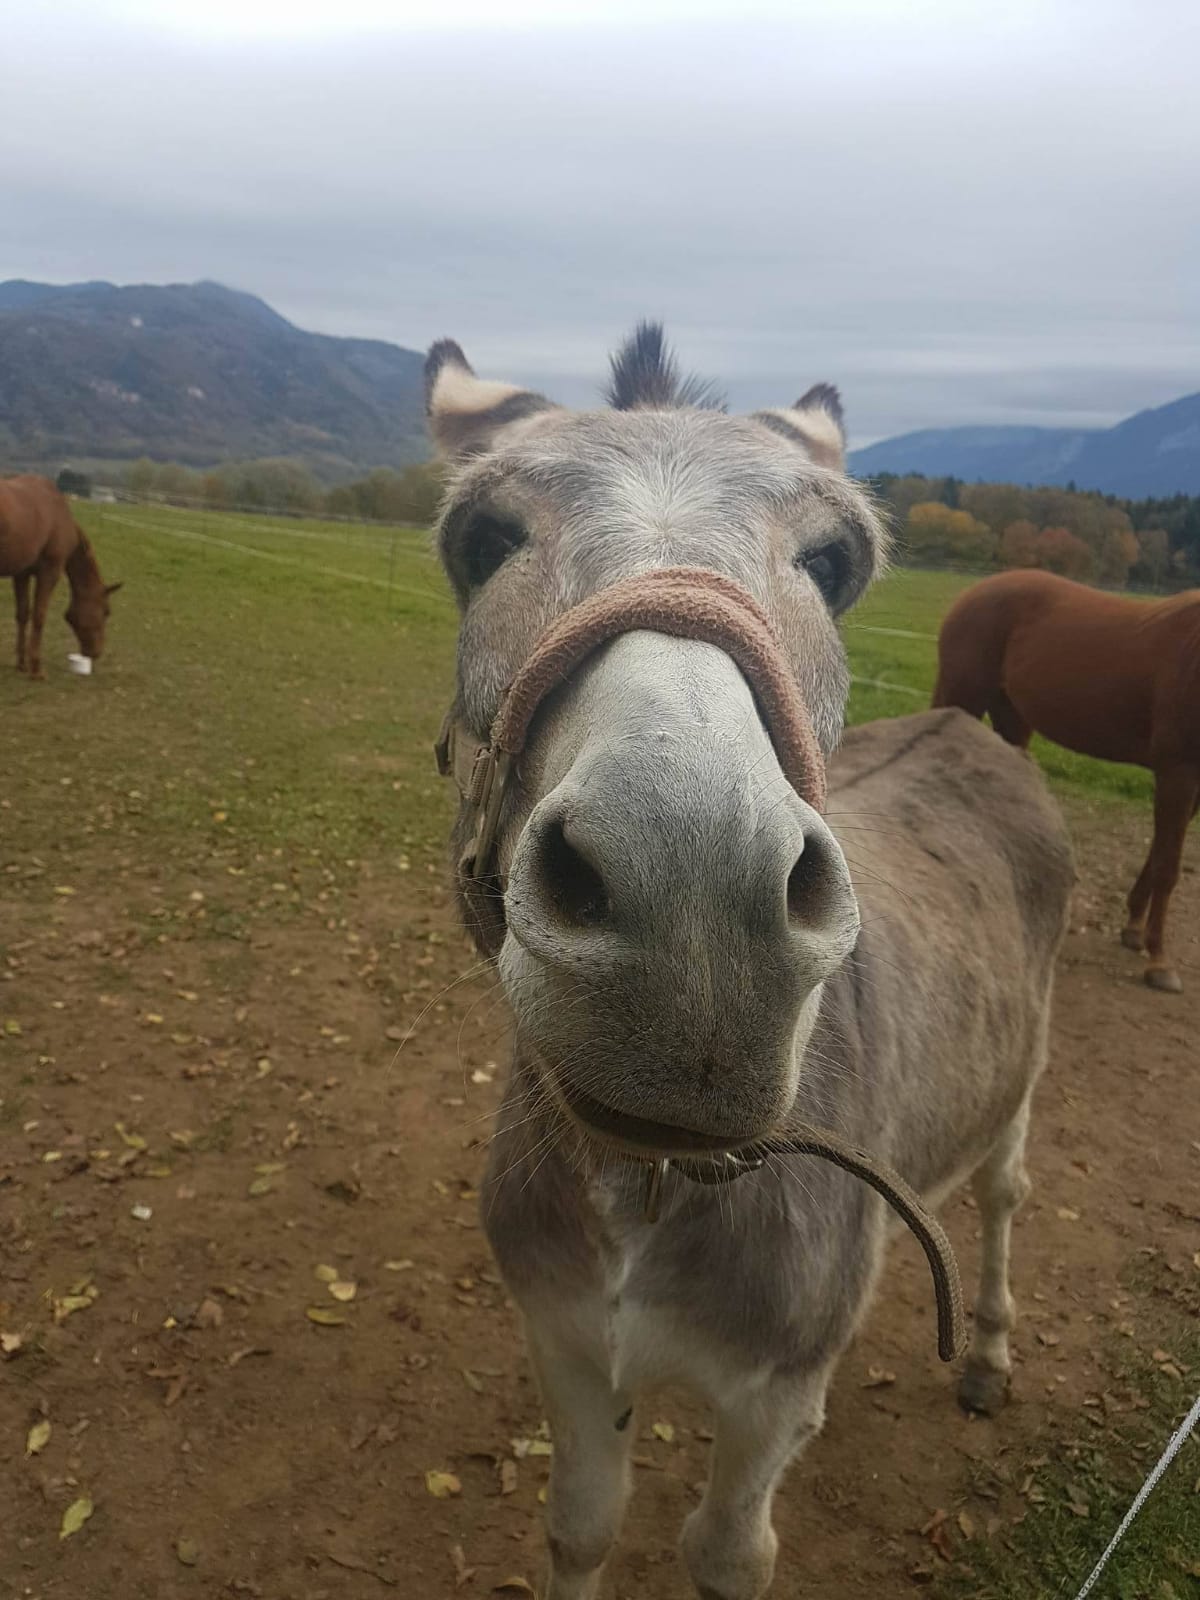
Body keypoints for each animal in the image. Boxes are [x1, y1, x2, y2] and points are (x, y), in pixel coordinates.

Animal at [0, 470, 120, 678]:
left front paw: (21, 664)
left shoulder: (22, 573)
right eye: (106, 611)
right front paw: (36, 669)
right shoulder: (50, 572)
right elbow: (39, 616)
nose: (96, 652)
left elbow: (23, 614)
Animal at [940, 569, 1200, 992]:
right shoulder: (1178, 770)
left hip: (1011, 719)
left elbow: (1158, 852)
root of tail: (978, 588)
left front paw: (1133, 928)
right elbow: (1167, 867)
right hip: (962, 696)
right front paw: (1159, 961)